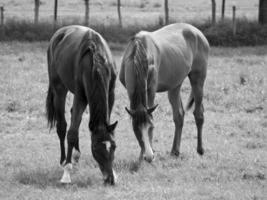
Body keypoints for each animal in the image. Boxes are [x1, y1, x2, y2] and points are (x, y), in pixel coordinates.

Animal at [46, 25, 118, 185]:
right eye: (96, 149)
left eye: (114, 146)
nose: (109, 179)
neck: (96, 61)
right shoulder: (80, 96)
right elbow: (71, 133)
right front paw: (66, 173)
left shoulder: (110, 95)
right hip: (59, 89)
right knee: (62, 126)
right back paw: (64, 161)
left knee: (73, 116)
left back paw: (76, 156)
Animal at [120, 22, 210, 162]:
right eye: (136, 130)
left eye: (151, 127)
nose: (149, 157)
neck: (138, 53)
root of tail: (198, 33)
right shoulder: (130, 90)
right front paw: (141, 155)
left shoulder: (151, 90)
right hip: (175, 85)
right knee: (179, 115)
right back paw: (175, 151)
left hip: (198, 80)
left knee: (198, 114)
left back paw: (200, 150)